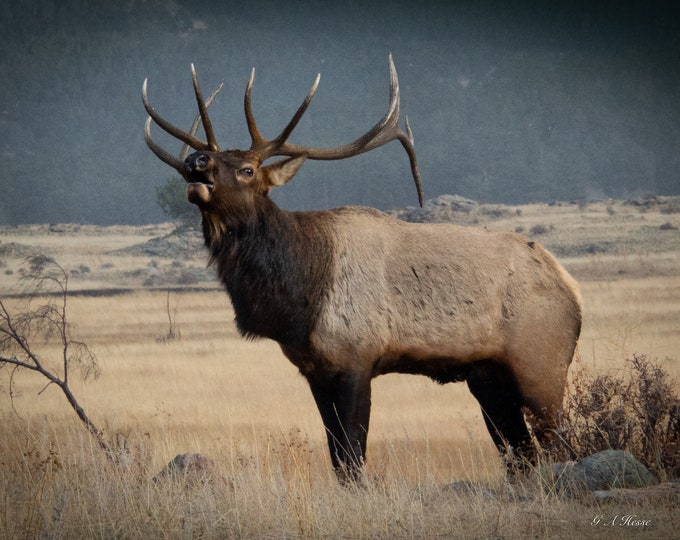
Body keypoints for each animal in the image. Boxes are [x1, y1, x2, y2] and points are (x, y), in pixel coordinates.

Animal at [142, 55, 582, 483]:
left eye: (247, 169)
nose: (196, 161)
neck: (299, 298)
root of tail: (572, 291)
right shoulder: (314, 370)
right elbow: (338, 462)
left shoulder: (357, 358)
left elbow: (354, 459)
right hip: (487, 378)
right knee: (520, 455)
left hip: (542, 363)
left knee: (558, 444)